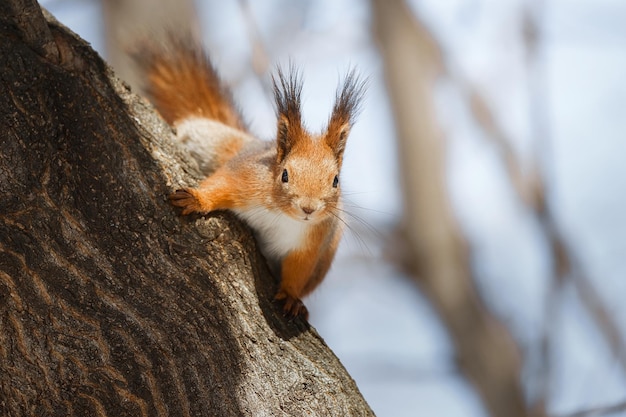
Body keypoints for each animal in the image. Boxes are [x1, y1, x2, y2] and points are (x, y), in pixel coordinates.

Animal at [134, 38, 364, 318]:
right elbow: (223, 183)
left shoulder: (314, 241)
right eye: (284, 174)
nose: (308, 208)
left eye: (335, 181)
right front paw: (197, 199)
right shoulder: (247, 178)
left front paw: (291, 296)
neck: (283, 215)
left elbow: (298, 271)